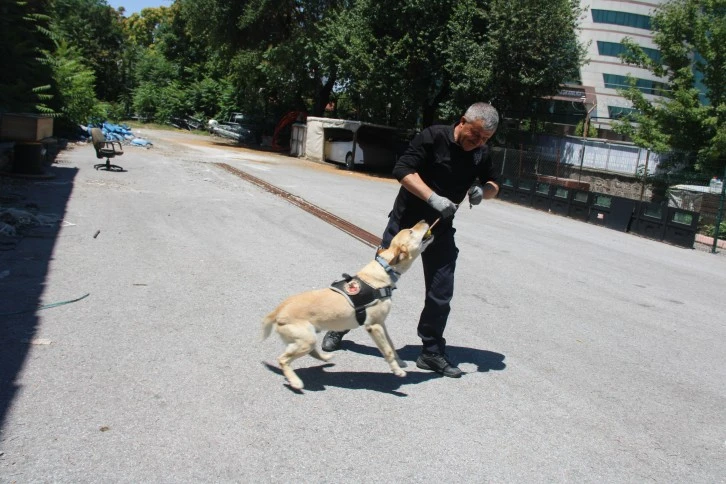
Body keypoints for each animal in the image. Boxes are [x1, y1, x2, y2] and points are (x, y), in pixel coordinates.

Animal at [264, 220, 430, 390]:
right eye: (411, 231)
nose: (423, 221)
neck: (384, 269)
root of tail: (278, 310)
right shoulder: (374, 326)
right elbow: (388, 351)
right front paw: (397, 370)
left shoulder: (382, 323)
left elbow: (391, 345)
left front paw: (400, 362)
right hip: (305, 339)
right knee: (283, 359)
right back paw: (295, 381)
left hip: (308, 338)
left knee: (310, 351)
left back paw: (325, 358)